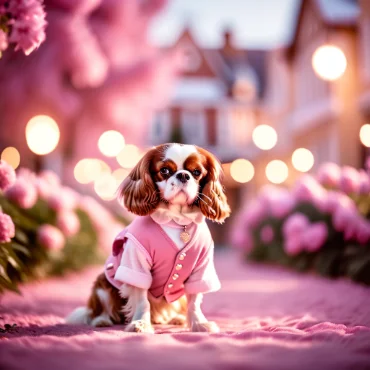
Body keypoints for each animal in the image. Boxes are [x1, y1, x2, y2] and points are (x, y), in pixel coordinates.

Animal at [65, 142, 230, 332]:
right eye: (165, 170)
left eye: (196, 172)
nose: (183, 175)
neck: (176, 221)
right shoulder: (137, 264)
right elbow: (143, 301)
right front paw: (141, 324)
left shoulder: (201, 268)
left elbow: (194, 301)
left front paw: (199, 323)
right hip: (102, 285)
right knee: (98, 310)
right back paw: (101, 320)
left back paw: (176, 318)